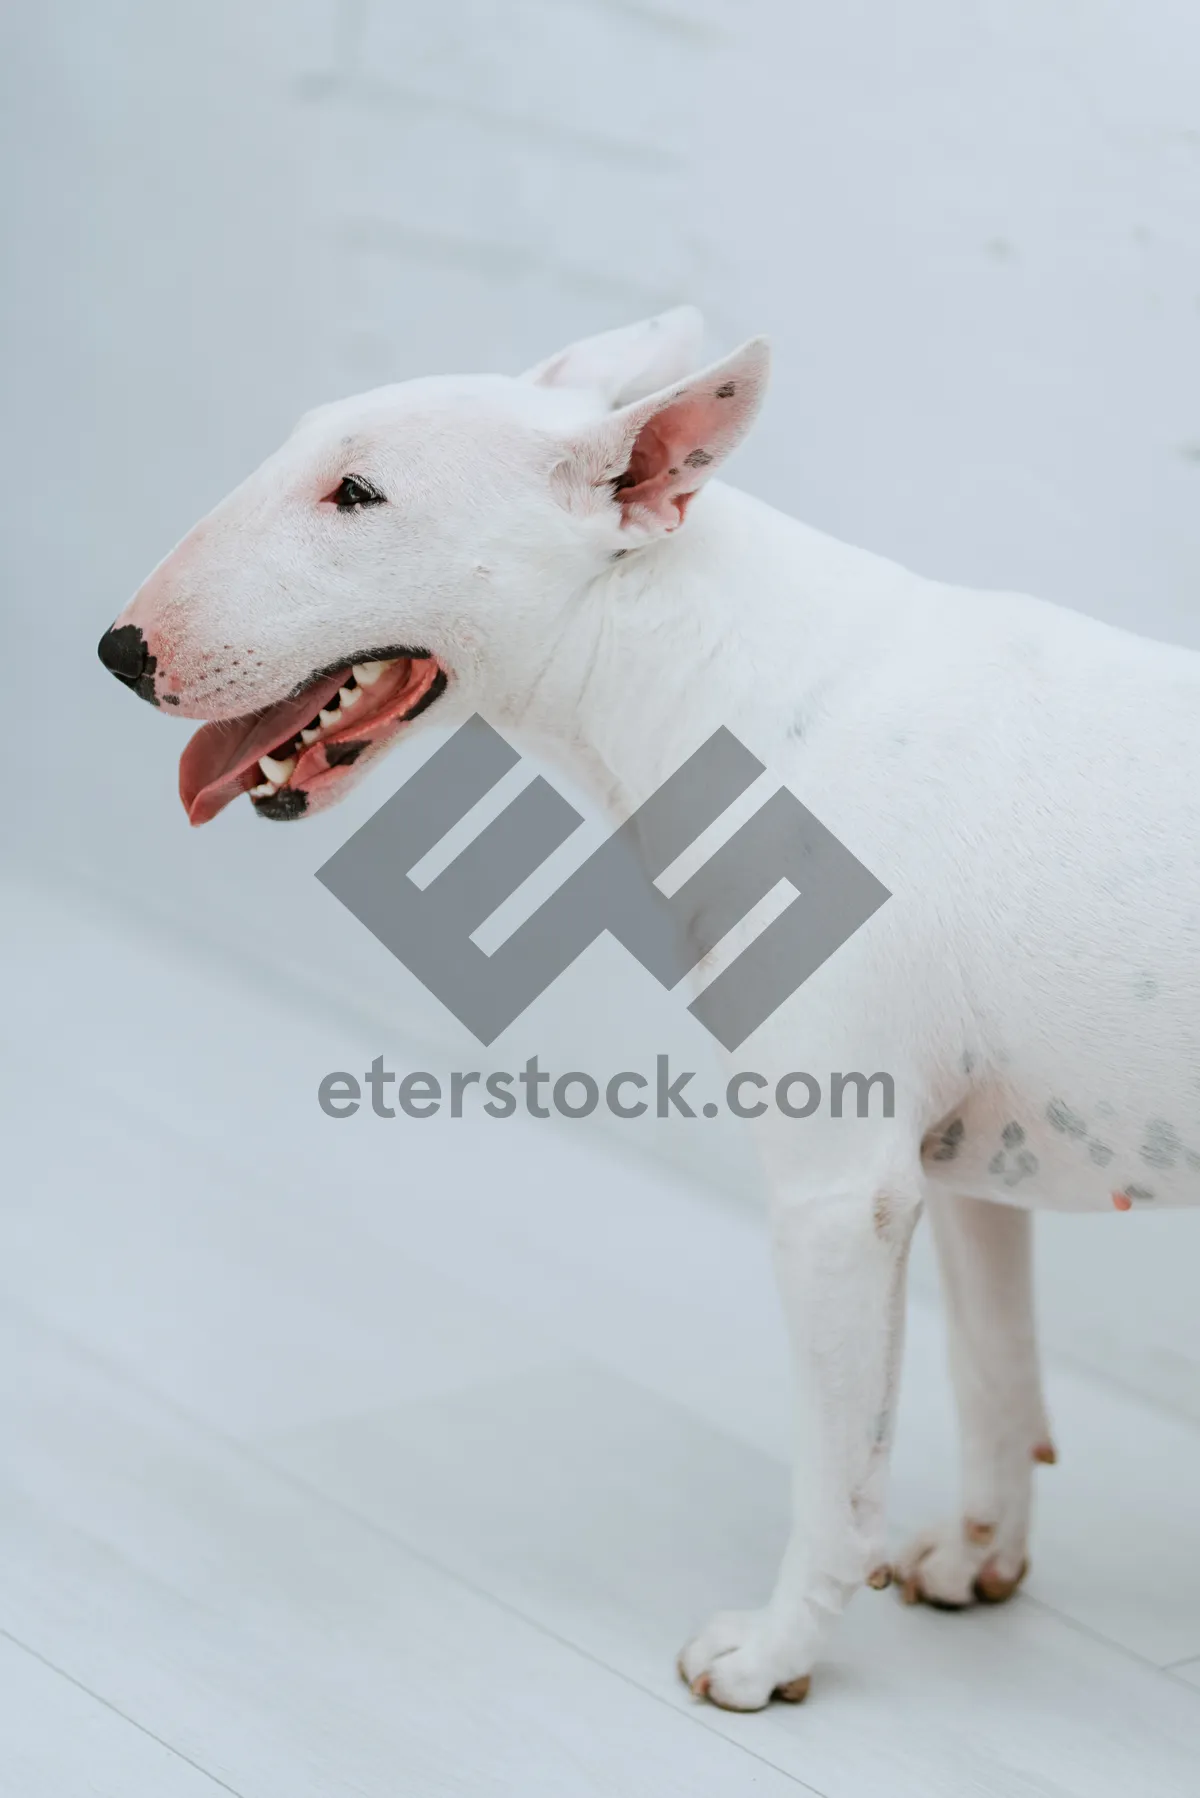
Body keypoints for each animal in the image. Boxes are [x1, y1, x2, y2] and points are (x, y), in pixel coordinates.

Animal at [103, 309, 1200, 1711]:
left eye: (358, 494)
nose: (118, 651)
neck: (706, 656)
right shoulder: (961, 1167)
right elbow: (994, 1368)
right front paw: (979, 1556)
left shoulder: (838, 1194)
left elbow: (836, 1469)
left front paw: (776, 1652)